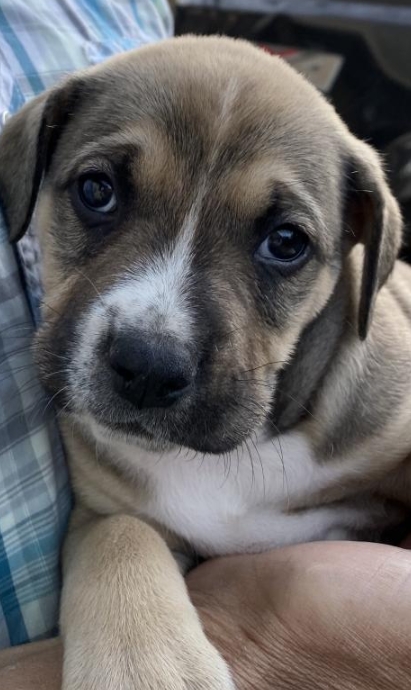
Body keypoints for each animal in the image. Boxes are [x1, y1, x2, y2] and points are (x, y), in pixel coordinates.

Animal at [0, 36, 411, 688]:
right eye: (97, 190)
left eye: (286, 242)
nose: (147, 366)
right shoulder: (100, 510)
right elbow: (120, 532)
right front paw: (148, 664)